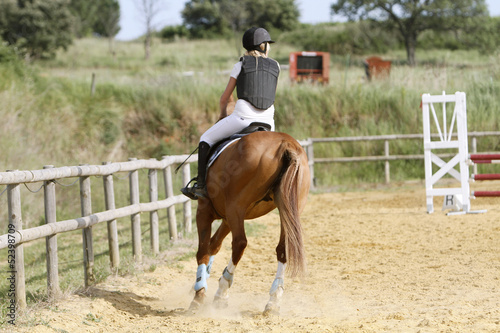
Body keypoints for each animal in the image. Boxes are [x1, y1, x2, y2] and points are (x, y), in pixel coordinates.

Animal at [189, 130, 310, 314]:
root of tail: (286, 144)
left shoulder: (205, 211)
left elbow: (203, 250)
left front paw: (199, 293)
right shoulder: (228, 219)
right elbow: (214, 245)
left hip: (235, 207)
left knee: (239, 244)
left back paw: (222, 290)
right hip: (287, 209)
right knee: (283, 248)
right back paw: (273, 301)